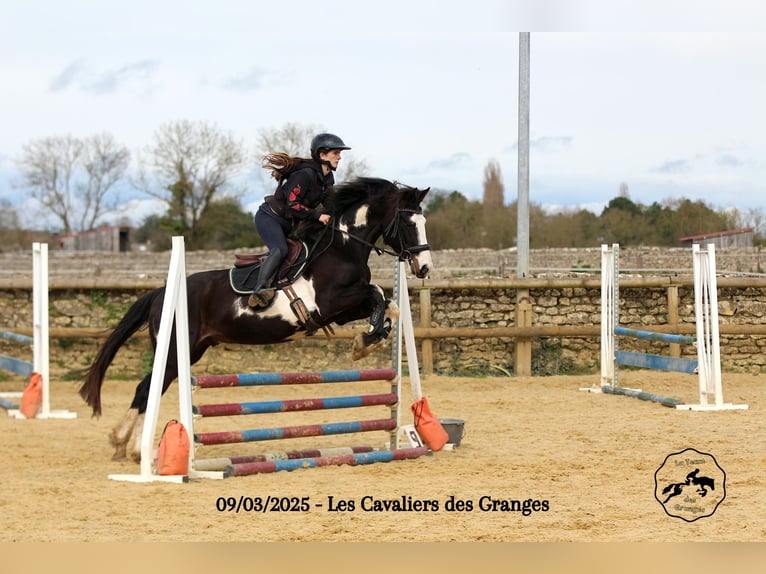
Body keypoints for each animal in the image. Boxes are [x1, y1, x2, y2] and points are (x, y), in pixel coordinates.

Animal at [79, 177, 433, 462]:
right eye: (408, 222)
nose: (425, 268)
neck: (342, 248)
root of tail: (161, 292)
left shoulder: (344, 310)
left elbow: (389, 304)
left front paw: (370, 339)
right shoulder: (331, 303)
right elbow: (377, 293)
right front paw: (365, 342)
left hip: (191, 352)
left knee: (149, 387)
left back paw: (126, 446)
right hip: (176, 352)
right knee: (145, 389)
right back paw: (134, 448)